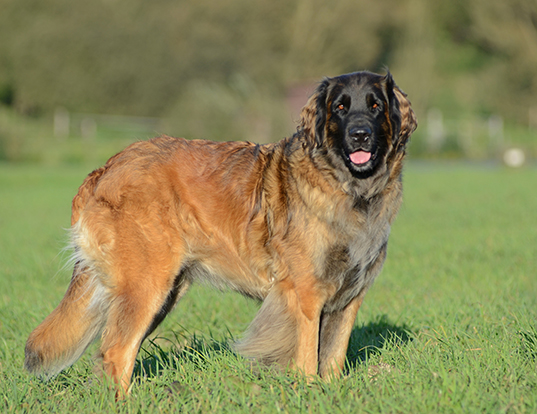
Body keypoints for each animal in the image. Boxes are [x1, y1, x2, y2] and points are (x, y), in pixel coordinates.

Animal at [27, 70, 416, 394]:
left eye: (376, 106)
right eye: (340, 108)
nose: (359, 135)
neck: (349, 189)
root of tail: (105, 169)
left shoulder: (349, 297)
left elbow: (332, 357)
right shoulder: (305, 294)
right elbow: (308, 357)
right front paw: (307, 391)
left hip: (161, 293)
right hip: (146, 286)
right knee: (115, 352)